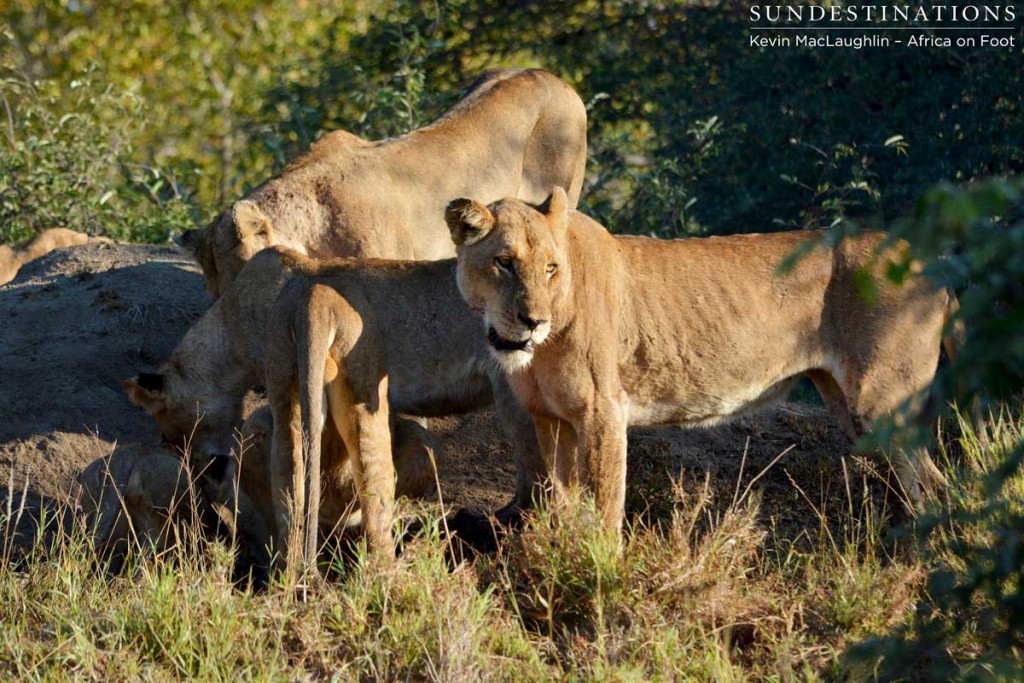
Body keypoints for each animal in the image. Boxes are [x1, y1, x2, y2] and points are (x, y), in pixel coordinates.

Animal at [448, 187, 958, 532]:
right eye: (504, 263)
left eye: (551, 268)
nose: (533, 320)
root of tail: (930, 260)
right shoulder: (552, 419)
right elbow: (565, 506)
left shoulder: (602, 411)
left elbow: (606, 507)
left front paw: (602, 577)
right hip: (847, 406)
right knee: (925, 484)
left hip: (882, 403)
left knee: (928, 487)